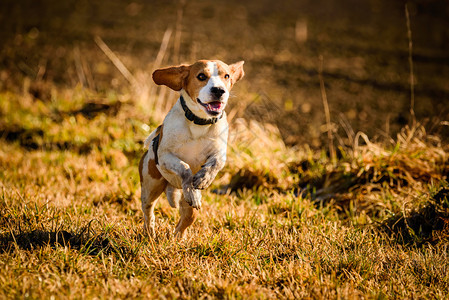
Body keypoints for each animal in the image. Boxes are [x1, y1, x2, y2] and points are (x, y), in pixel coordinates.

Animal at [140, 59, 245, 238]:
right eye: (201, 76)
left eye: (226, 76)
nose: (219, 90)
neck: (199, 122)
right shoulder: (166, 156)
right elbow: (184, 167)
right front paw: (191, 187)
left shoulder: (220, 153)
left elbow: (215, 163)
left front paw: (204, 178)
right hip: (151, 186)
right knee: (149, 211)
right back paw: (150, 233)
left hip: (188, 208)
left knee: (186, 218)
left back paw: (177, 238)